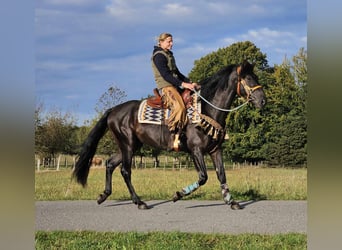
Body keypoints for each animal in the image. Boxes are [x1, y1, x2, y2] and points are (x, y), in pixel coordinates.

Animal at [73, 60, 268, 209]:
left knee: (110, 164)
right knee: (125, 171)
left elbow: (221, 174)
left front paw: (231, 201)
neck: (206, 109)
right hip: (127, 144)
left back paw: (103, 196)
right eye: (248, 78)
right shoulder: (196, 150)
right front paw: (178, 194)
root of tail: (113, 110)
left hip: (129, 146)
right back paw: (139, 202)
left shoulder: (215, 150)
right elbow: (203, 177)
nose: (263, 101)